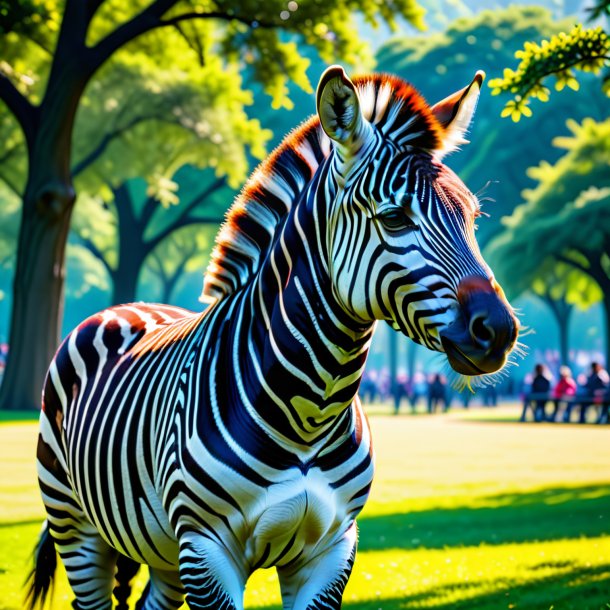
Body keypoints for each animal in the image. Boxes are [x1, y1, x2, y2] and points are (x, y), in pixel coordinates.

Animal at [26, 64, 516, 604]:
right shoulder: (207, 552)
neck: (309, 413)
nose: (499, 330)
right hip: (76, 525)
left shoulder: (331, 551)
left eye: (471, 217)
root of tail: (125, 306)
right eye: (393, 217)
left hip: (163, 549)